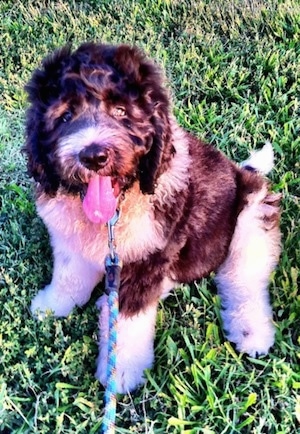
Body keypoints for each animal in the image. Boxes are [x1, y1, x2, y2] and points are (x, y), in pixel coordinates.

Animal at [24, 41, 282, 394]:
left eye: (121, 112)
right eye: (65, 116)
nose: (93, 155)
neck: (117, 209)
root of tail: (243, 173)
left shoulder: (148, 255)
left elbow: (129, 323)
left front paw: (120, 374)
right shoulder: (71, 239)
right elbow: (69, 276)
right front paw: (53, 304)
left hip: (251, 217)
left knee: (244, 278)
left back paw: (251, 331)